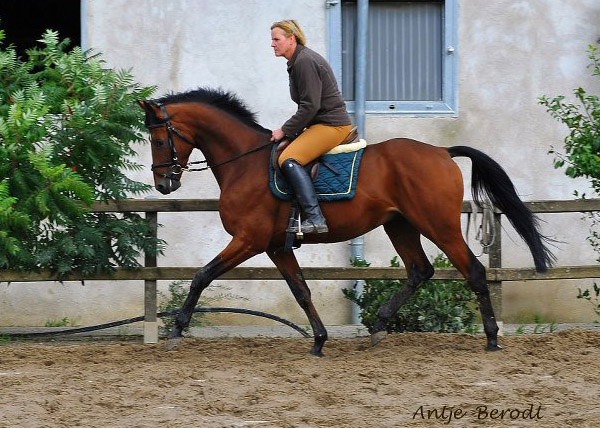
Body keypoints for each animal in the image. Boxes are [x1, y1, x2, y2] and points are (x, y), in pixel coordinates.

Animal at [138, 86, 556, 354]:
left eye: (158, 140)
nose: (164, 184)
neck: (245, 162)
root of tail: (441, 151)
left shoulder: (249, 240)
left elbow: (201, 275)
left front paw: (176, 329)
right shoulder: (275, 247)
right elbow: (301, 291)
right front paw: (319, 340)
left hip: (438, 225)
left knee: (474, 271)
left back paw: (491, 338)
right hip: (400, 225)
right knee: (420, 271)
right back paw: (380, 326)